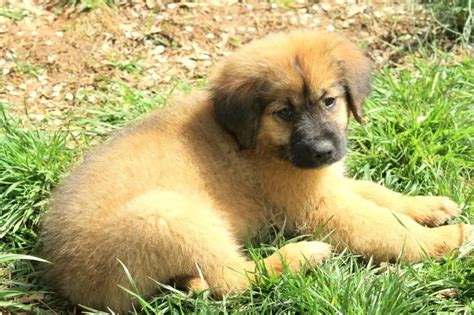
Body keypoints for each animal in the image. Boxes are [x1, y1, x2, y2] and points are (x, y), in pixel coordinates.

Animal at [39, 30, 470, 312]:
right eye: (284, 112)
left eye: (329, 101)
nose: (322, 151)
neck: (260, 143)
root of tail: (69, 279)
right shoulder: (322, 207)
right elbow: (389, 229)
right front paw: (446, 239)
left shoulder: (330, 184)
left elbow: (378, 193)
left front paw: (430, 205)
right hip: (167, 215)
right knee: (233, 279)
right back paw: (303, 255)